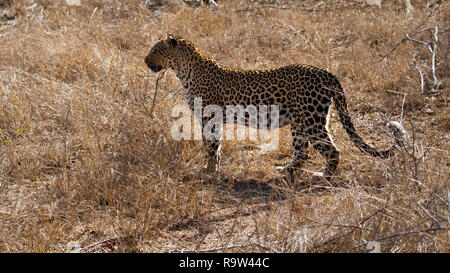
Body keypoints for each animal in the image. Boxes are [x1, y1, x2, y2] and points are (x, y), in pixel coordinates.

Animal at [145, 34, 408, 182]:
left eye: (156, 50)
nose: (145, 60)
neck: (184, 70)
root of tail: (327, 73)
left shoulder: (209, 117)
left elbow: (210, 147)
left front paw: (208, 172)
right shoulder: (213, 120)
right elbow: (216, 148)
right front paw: (214, 170)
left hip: (312, 120)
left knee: (332, 151)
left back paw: (323, 178)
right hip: (301, 122)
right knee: (302, 153)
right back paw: (287, 170)